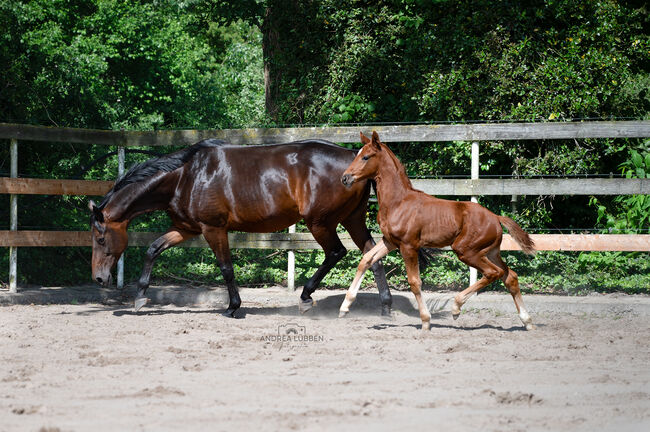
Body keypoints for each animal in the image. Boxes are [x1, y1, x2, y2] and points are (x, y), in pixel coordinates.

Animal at [87, 140, 390, 316]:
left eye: (100, 239)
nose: (99, 279)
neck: (185, 176)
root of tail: (353, 159)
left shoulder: (213, 228)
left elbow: (226, 268)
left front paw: (233, 307)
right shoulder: (187, 228)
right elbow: (152, 249)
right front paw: (140, 298)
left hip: (320, 222)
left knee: (337, 252)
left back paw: (306, 297)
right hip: (353, 220)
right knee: (371, 255)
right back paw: (384, 306)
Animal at [336, 132, 536, 330]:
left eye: (366, 157)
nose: (345, 178)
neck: (398, 202)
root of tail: (496, 217)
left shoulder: (408, 246)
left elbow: (414, 282)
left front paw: (425, 320)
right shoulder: (390, 241)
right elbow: (366, 260)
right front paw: (345, 307)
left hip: (467, 251)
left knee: (494, 273)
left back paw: (456, 307)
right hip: (491, 252)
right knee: (510, 277)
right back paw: (527, 321)